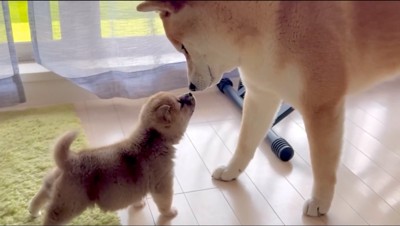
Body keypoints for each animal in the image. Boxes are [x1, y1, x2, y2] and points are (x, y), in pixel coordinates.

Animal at [28, 91, 197, 224]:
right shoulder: (163, 184)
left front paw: (138, 204)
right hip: (68, 205)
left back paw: (34, 212)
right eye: (180, 102)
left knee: (37, 199)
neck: (153, 137)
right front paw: (170, 213)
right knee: (51, 218)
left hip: (50, 187)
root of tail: (69, 159)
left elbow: (137, 197)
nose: (189, 93)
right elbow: (165, 202)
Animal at [137, 1, 400, 217]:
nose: (191, 87)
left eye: (183, 47)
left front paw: (320, 203)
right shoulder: (261, 95)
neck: (268, 23)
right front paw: (231, 171)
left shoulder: (321, 107)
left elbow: (322, 167)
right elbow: (245, 143)